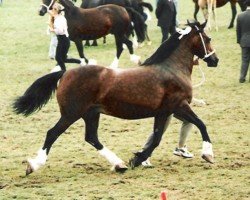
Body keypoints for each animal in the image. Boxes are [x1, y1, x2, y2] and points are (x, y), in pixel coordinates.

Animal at [12, 19, 218, 174]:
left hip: (91, 114)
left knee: (91, 138)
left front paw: (138, 159)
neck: (171, 69)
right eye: (207, 38)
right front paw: (208, 154)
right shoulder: (178, 106)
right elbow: (199, 124)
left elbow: (157, 137)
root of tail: (65, 73)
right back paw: (33, 165)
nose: (215, 60)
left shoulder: (164, 112)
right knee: (52, 133)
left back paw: (119, 164)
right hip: (71, 114)